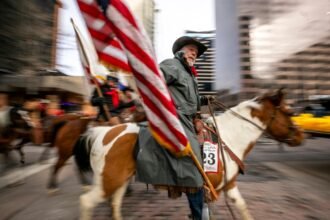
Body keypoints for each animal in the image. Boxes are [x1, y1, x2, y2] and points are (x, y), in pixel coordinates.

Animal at [76, 89, 302, 220]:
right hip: (108, 181)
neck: (228, 136)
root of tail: (101, 132)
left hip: (120, 180)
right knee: (86, 201)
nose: (301, 135)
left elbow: (241, 207)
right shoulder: (206, 189)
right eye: (289, 112)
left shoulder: (227, 186)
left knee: (115, 203)